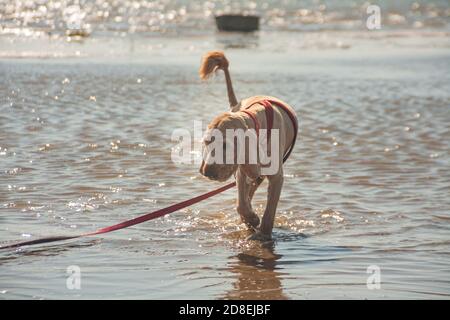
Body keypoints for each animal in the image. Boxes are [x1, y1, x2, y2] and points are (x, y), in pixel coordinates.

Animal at [199, 50, 298, 240]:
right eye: (207, 142)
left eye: (226, 145)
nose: (206, 173)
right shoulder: (242, 169)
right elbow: (241, 203)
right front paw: (251, 219)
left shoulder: (277, 177)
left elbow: (270, 211)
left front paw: (263, 234)